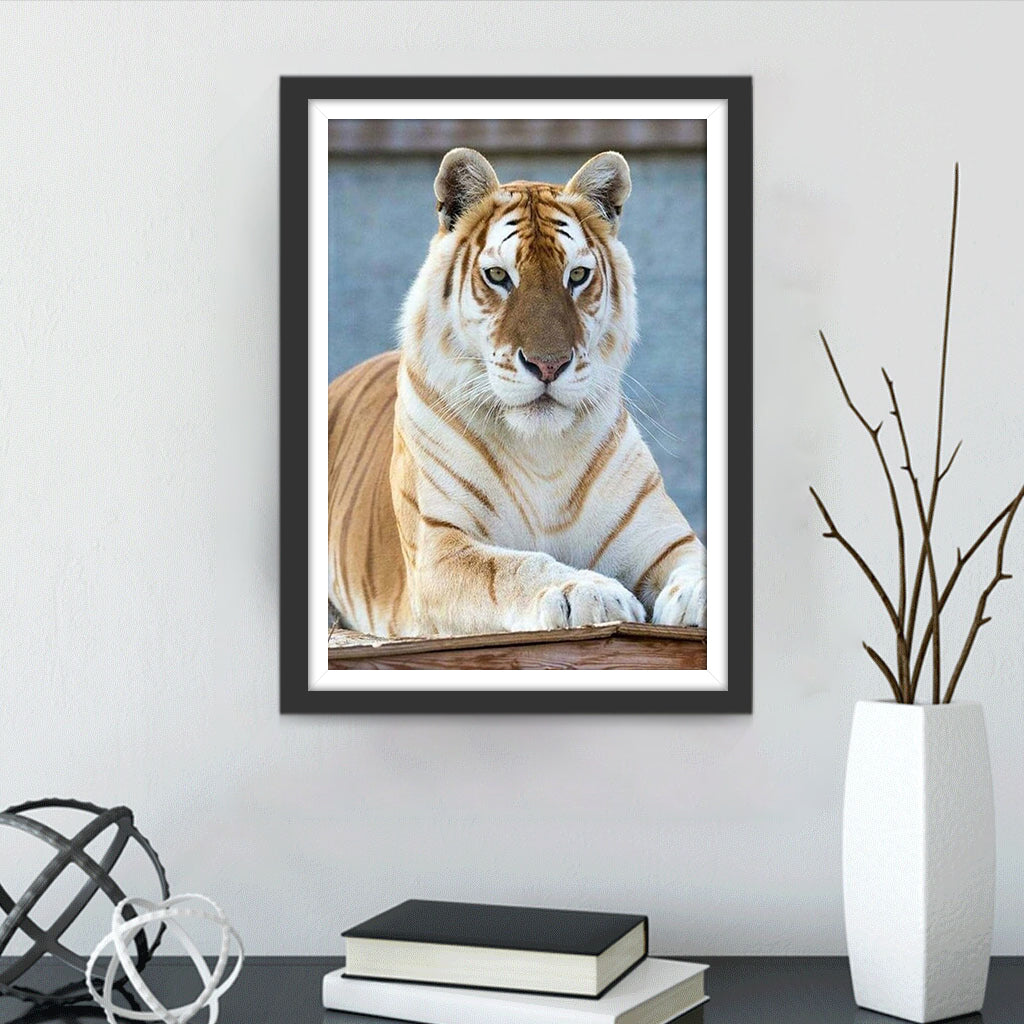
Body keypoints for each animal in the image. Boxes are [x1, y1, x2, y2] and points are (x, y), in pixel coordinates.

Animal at [328, 147, 707, 638]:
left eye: (577, 275)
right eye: (497, 275)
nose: (549, 365)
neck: (542, 451)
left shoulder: (665, 539)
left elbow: (700, 561)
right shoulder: (442, 547)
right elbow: (515, 568)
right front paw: (589, 591)